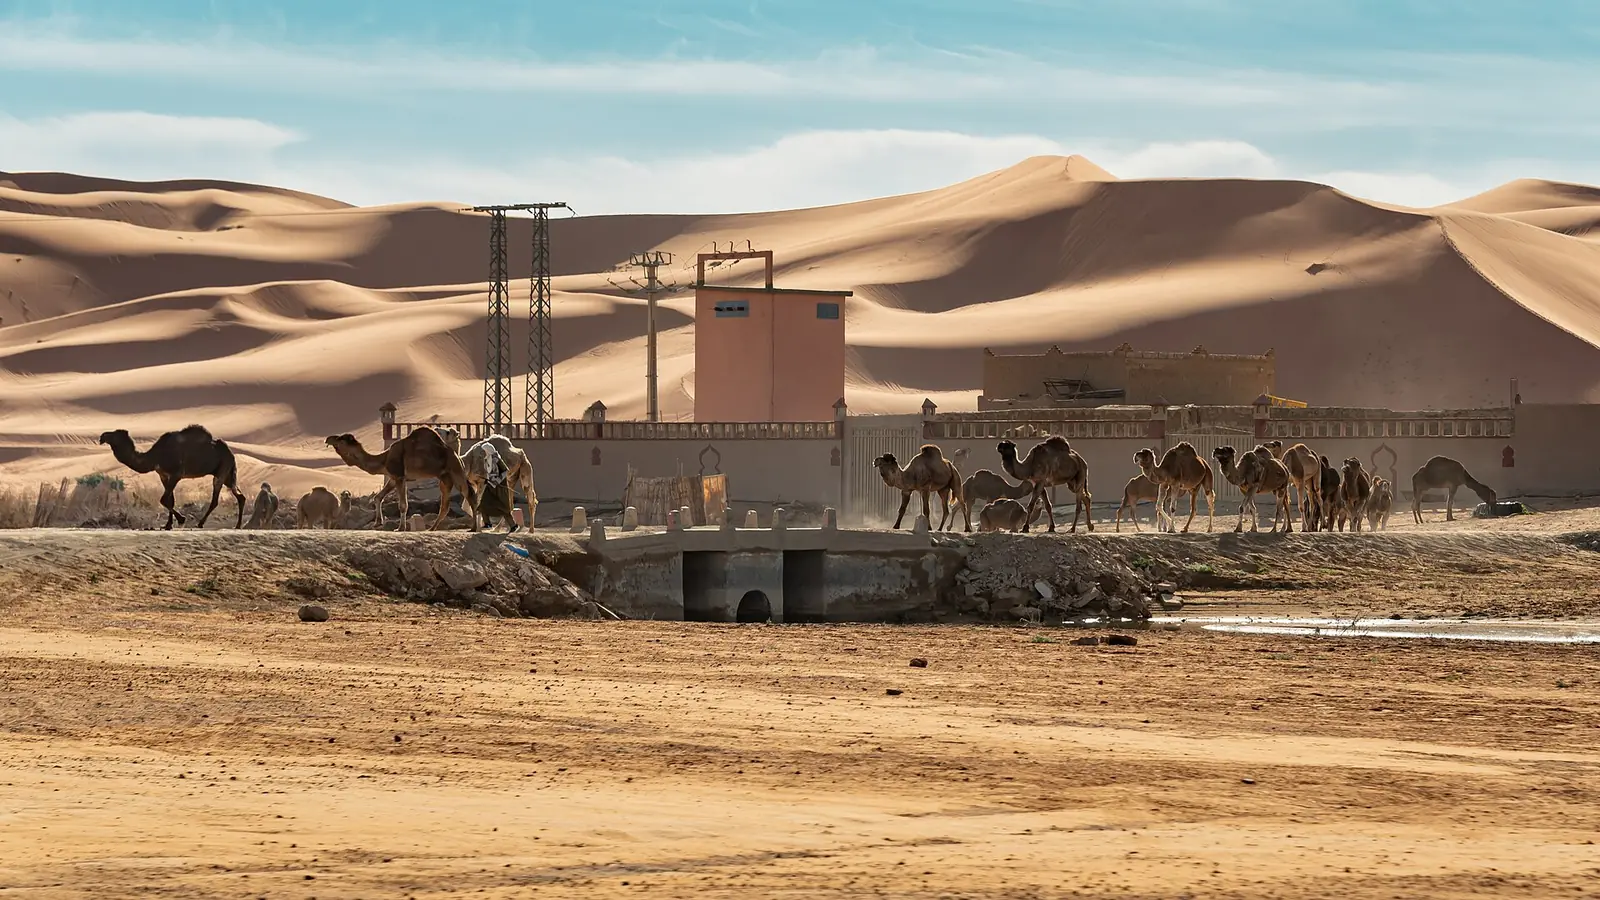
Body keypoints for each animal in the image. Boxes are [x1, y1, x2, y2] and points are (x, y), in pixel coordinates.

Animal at [98, 425, 247, 530]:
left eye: (116, 434)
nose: (102, 436)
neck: (155, 456)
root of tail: (231, 453)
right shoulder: (163, 475)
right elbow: (170, 500)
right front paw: (168, 525)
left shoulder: (176, 474)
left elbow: (164, 499)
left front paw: (181, 519)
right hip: (227, 475)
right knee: (240, 496)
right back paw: (238, 525)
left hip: (223, 469)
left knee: (216, 498)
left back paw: (200, 524)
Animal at [325, 426, 478, 532]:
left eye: (340, 439)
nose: (328, 439)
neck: (384, 459)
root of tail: (456, 455)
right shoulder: (393, 477)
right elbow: (378, 497)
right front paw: (378, 522)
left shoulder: (399, 476)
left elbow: (403, 505)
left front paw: (400, 528)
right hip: (444, 478)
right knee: (445, 505)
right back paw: (432, 528)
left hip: (456, 471)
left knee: (470, 495)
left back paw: (473, 528)